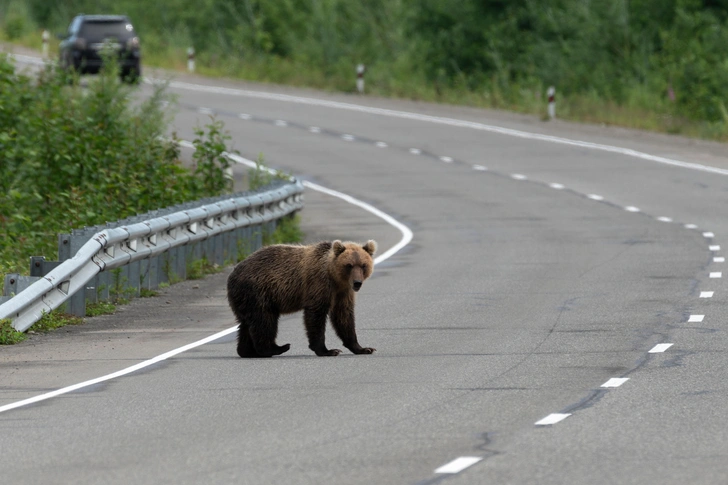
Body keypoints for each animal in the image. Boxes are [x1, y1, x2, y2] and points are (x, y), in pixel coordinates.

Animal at [226, 238, 376, 356]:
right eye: (349, 265)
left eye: (363, 265)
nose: (357, 283)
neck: (335, 278)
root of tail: (231, 276)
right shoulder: (319, 284)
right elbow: (316, 314)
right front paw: (328, 350)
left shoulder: (343, 292)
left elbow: (344, 316)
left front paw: (363, 348)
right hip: (258, 292)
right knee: (264, 320)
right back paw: (275, 348)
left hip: (245, 299)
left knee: (247, 324)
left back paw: (247, 351)